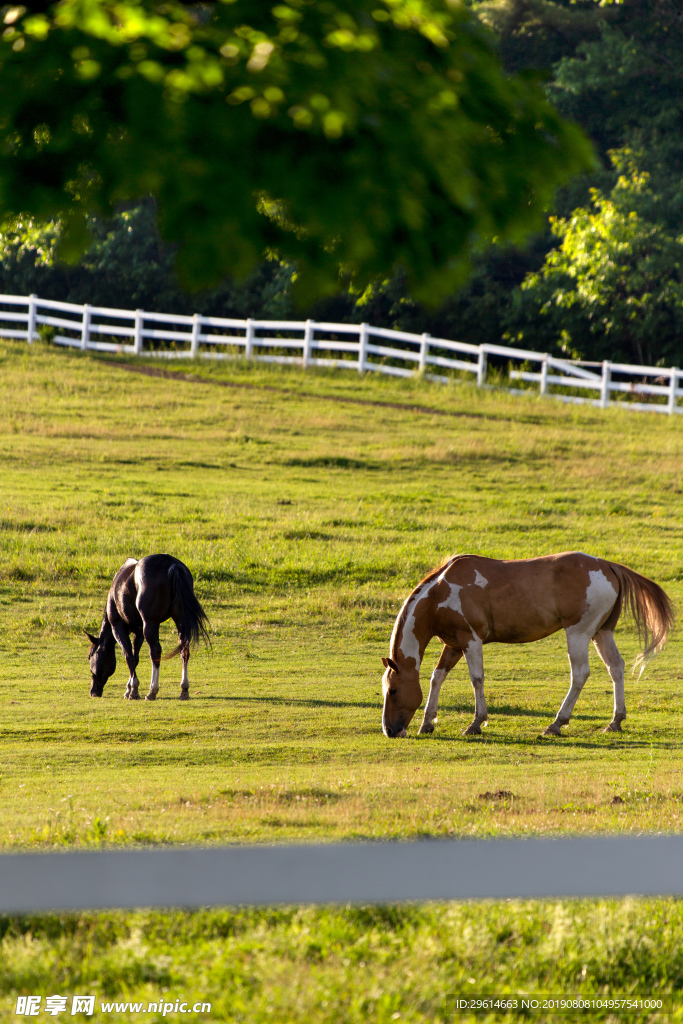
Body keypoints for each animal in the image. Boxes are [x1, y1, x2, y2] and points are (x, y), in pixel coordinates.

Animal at [87, 557, 210, 700]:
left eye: (90, 656)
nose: (93, 692)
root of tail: (172, 564)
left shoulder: (118, 628)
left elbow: (129, 656)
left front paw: (133, 690)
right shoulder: (139, 631)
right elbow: (135, 658)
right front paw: (130, 688)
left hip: (150, 623)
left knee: (155, 652)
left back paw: (152, 691)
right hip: (180, 620)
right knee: (184, 650)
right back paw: (184, 689)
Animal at [382, 552, 675, 737]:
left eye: (393, 691)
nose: (389, 730)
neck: (440, 592)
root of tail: (607, 565)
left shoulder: (471, 640)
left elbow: (477, 679)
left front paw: (476, 722)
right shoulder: (453, 644)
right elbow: (436, 678)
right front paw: (427, 722)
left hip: (578, 633)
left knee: (580, 674)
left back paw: (556, 723)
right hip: (601, 633)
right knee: (616, 668)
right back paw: (615, 721)